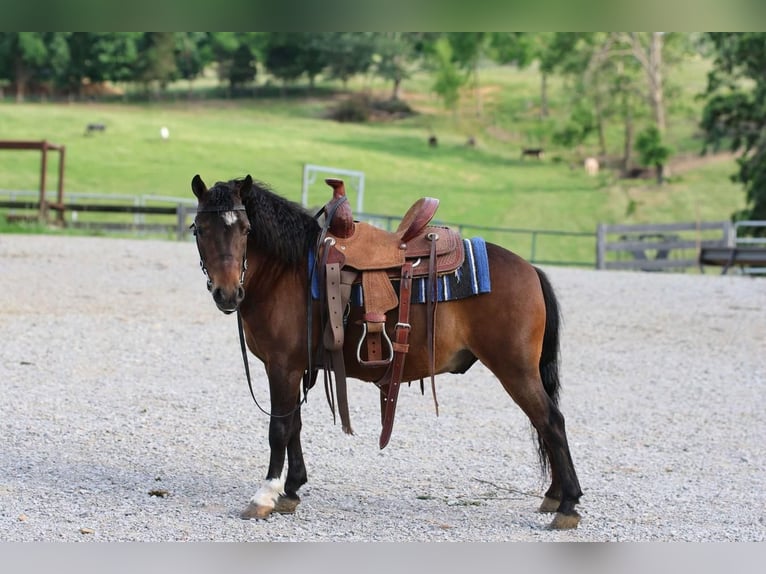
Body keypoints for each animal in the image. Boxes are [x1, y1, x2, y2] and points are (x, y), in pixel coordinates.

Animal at [190, 174, 584, 532]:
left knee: (551, 421)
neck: (287, 272)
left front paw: (265, 496)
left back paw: (568, 505)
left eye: (244, 229)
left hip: (516, 370)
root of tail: (530, 269)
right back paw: (555, 496)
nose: (227, 293)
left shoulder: (282, 366)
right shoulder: (295, 368)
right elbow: (295, 426)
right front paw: (291, 490)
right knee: (546, 423)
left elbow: (279, 428)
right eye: (200, 229)